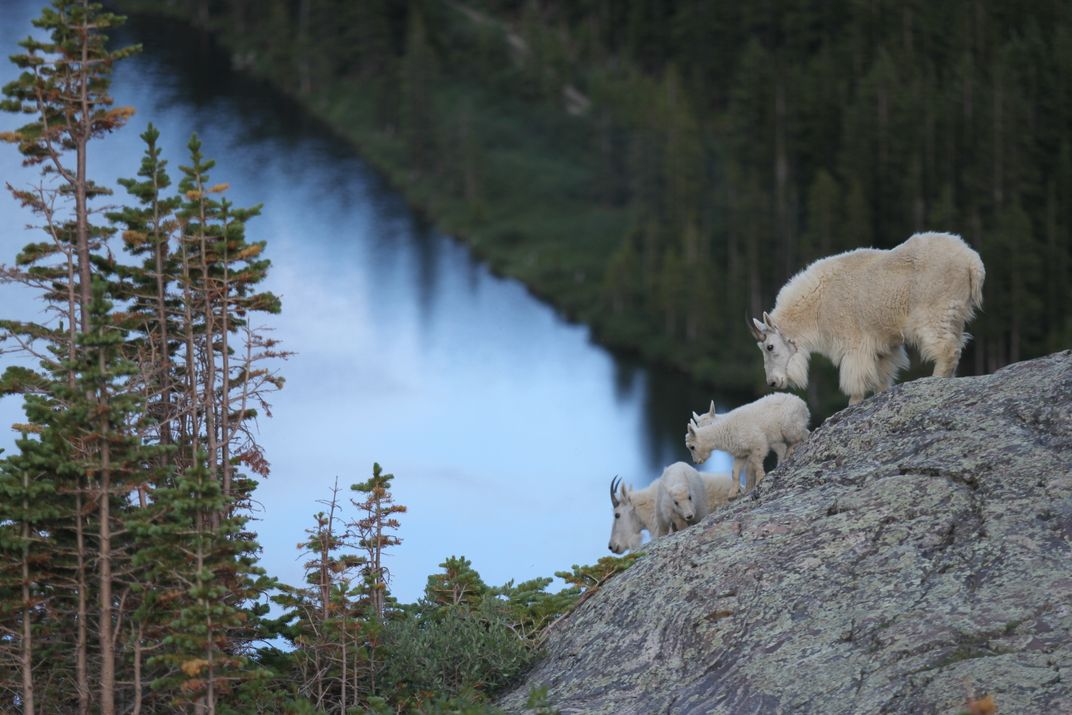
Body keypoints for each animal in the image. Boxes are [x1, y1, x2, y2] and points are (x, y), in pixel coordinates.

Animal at [749, 231, 985, 405]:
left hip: (934, 310)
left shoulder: (853, 342)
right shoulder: (883, 346)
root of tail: (972, 261)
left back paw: (936, 379)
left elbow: (855, 378)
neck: (818, 303)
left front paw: (852, 404)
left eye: (769, 346)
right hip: (954, 313)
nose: (772, 382)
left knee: (946, 347)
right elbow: (882, 376)